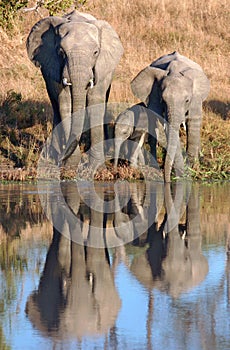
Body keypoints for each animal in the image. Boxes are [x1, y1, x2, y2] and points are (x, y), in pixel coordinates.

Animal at [26, 9, 124, 168]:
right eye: (61, 52)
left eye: (96, 52)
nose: (63, 160)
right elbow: (64, 104)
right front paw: (70, 165)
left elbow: (95, 102)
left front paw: (95, 168)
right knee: (56, 107)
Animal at [130, 52, 209, 183]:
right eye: (163, 100)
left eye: (187, 100)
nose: (167, 180)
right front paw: (182, 172)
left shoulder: (196, 99)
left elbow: (193, 125)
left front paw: (192, 169)